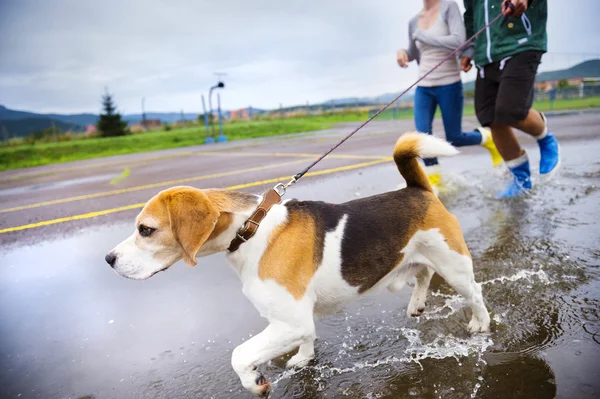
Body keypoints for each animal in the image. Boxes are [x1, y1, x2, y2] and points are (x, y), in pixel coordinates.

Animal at [106, 134, 492, 396]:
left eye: (145, 229)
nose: (109, 260)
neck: (251, 230)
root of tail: (417, 190)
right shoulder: (296, 319)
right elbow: (307, 336)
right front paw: (303, 359)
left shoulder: (289, 320)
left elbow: (239, 354)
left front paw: (255, 382)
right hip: (418, 258)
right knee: (423, 272)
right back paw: (417, 303)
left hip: (454, 265)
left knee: (474, 292)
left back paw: (480, 324)